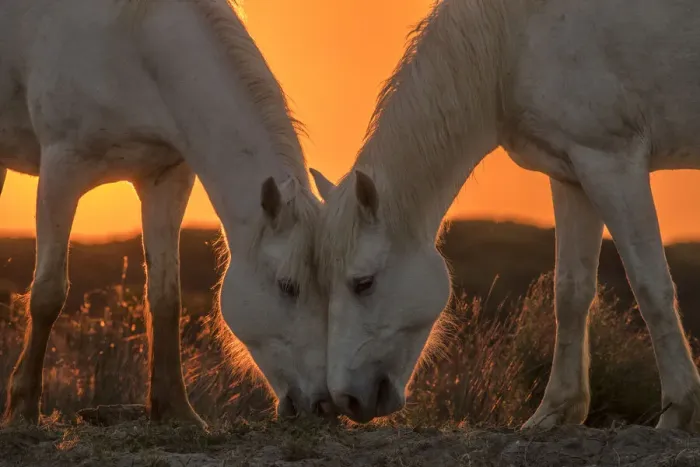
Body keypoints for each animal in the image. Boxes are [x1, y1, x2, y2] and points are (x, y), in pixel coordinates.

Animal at [0, 0, 330, 427]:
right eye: (287, 286)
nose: (323, 405)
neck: (133, 42)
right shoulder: (61, 169)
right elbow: (48, 294)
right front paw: (23, 408)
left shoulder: (166, 179)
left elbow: (165, 297)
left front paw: (176, 409)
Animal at [310, 0, 700, 431]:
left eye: (363, 284)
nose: (347, 399)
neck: (514, 37)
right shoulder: (574, 175)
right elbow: (571, 292)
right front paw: (554, 412)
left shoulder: (612, 163)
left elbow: (651, 288)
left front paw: (678, 412)